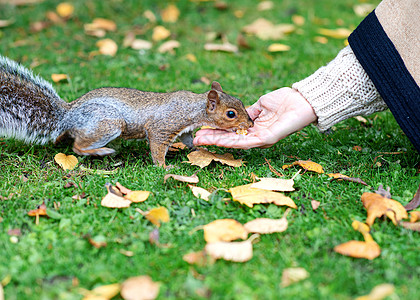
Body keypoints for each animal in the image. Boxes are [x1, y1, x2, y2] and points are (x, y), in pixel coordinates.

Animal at [0, 56, 253, 166]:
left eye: (241, 102)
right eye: (231, 114)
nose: (250, 124)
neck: (193, 107)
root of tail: (68, 115)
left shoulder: (184, 129)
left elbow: (189, 140)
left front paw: (200, 147)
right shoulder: (164, 126)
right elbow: (157, 147)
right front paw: (164, 167)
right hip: (109, 124)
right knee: (78, 146)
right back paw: (101, 151)